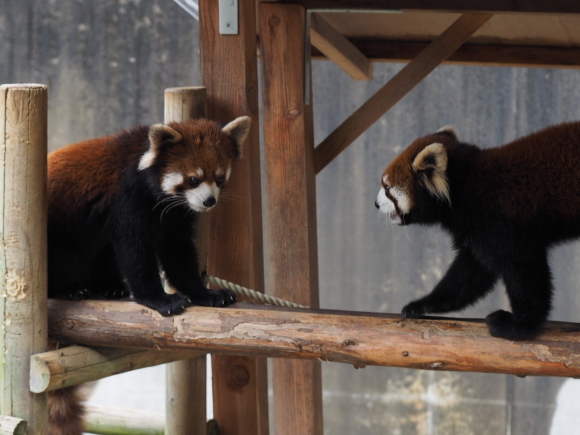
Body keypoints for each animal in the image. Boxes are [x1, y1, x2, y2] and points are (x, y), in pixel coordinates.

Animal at [376, 122, 580, 340]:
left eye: (387, 188)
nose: (375, 204)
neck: (464, 188)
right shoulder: (476, 233)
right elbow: (470, 274)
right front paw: (421, 304)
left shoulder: (501, 224)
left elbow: (523, 270)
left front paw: (520, 325)